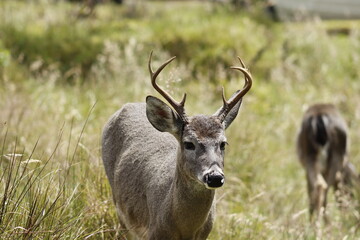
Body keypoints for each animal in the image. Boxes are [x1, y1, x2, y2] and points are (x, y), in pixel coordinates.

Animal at [101, 53, 253, 240]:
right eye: (188, 143)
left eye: (223, 143)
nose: (215, 177)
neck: (185, 229)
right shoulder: (154, 232)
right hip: (119, 205)